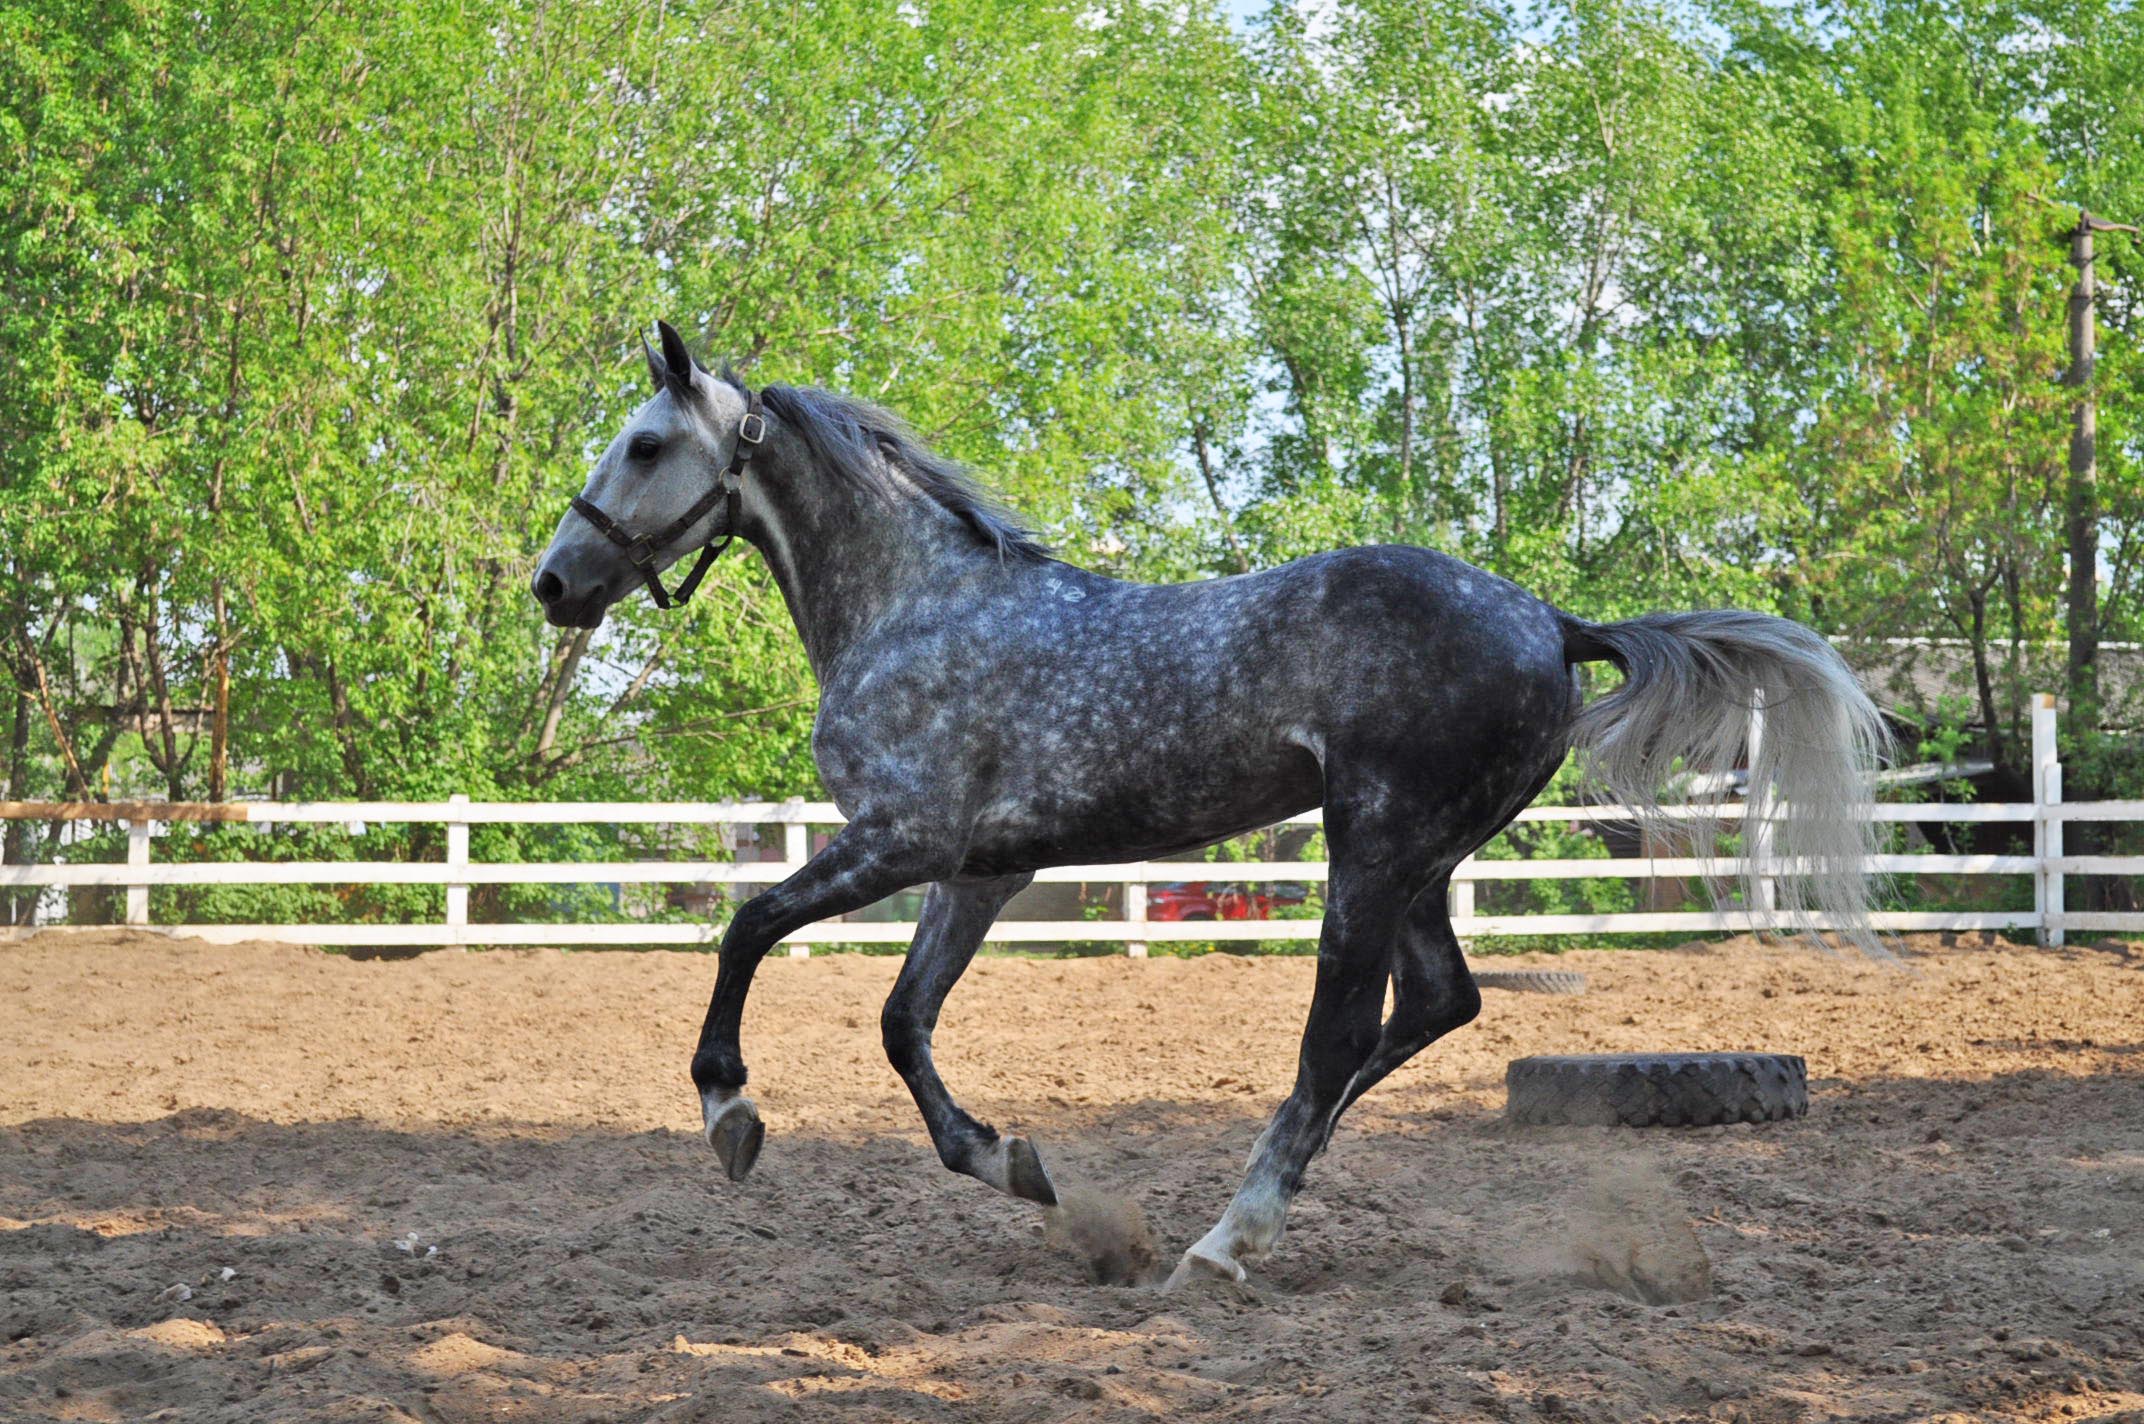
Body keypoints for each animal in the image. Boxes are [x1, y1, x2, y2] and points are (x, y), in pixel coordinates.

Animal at [531, 325, 1878, 1286]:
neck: (916, 606)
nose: (553, 581)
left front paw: (729, 1110)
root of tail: (1553, 620)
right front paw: (1016, 1166)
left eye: (642, 445)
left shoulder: (901, 839)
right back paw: (1267, 1186)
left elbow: (747, 926)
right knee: (1432, 1005)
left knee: (1338, 1034)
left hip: (1369, 845)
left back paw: (1227, 1237)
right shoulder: (980, 869)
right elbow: (902, 1022)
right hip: (1416, 859)